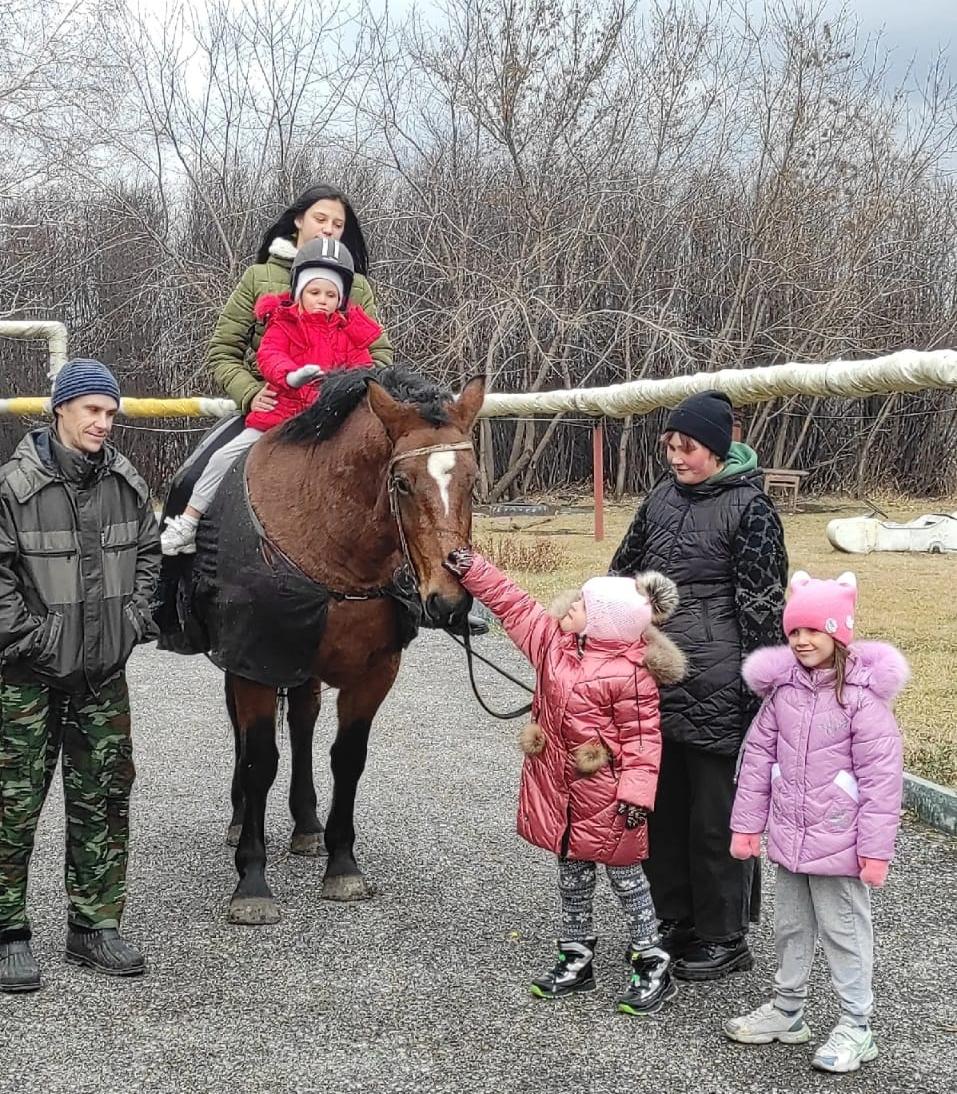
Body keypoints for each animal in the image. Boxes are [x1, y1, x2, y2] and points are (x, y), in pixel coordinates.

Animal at [218, 367, 485, 923]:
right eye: (401, 483)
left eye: (473, 481)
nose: (449, 600)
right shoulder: (254, 663)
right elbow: (258, 761)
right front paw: (251, 881)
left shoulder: (375, 670)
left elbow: (348, 757)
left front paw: (342, 864)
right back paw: (239, 820)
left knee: (302, 723)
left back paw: (306, 825)